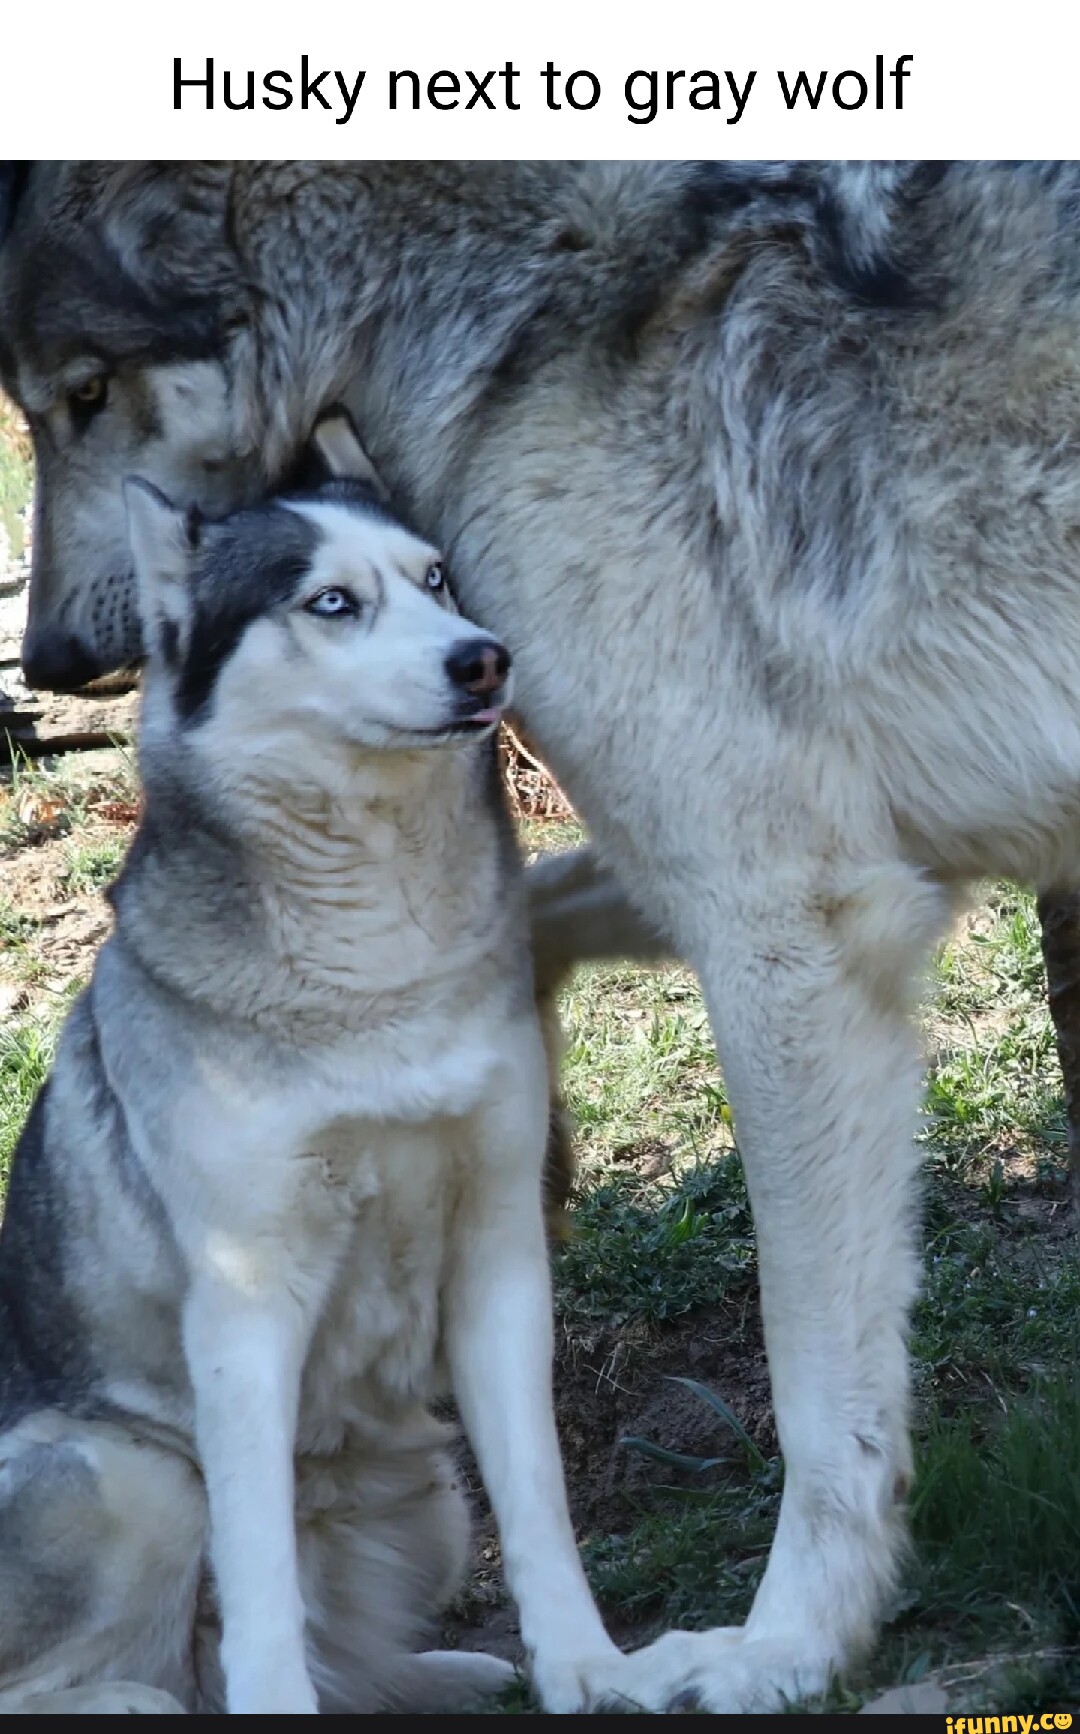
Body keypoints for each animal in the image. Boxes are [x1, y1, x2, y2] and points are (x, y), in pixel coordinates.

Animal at [0, 409, 676, 1720]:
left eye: (437, 581)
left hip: (430, 1502)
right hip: (133, 1475)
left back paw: (440, 1672)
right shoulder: (247, 1299)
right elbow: (260, 1568)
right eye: (330, 602)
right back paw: (141, 1706)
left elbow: (541, 1503)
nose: (485, 659)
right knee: (123, 1665)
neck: (376, 971)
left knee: (330, 1648)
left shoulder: (499, 1251)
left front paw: (586, 1667)